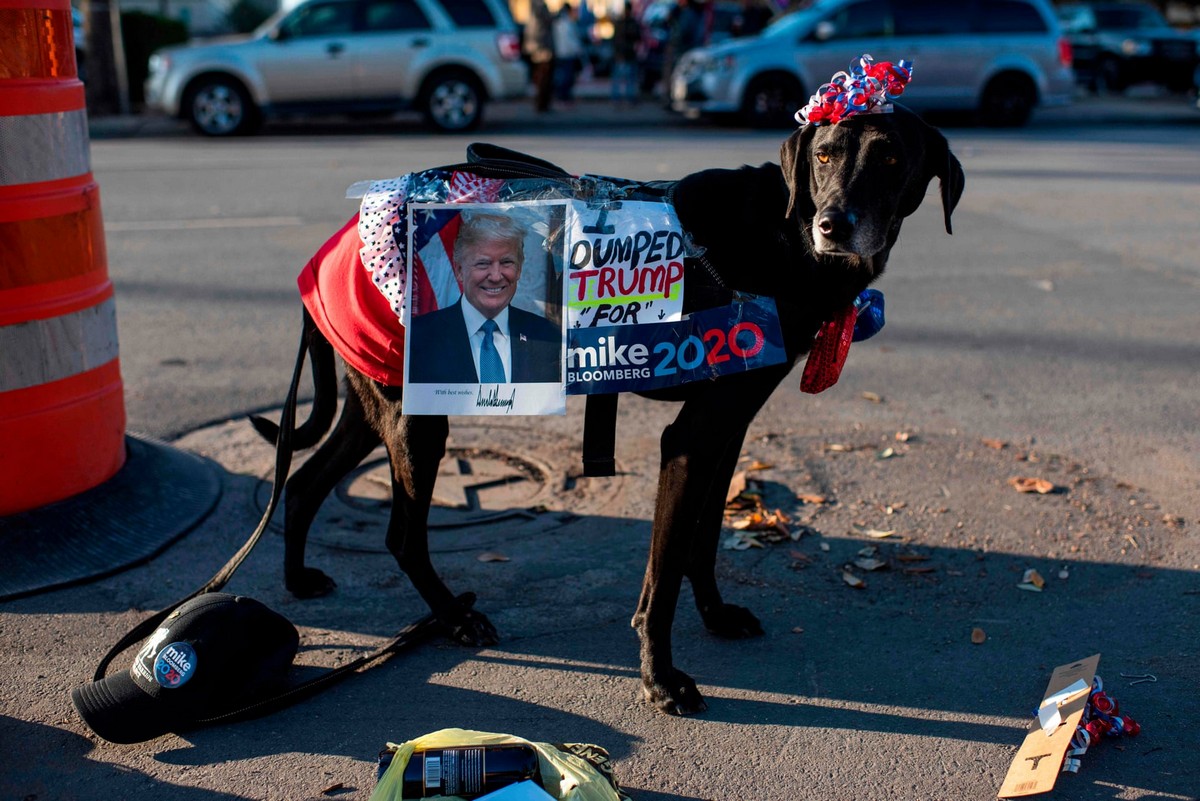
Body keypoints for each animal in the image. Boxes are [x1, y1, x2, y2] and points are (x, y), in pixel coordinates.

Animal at [258, 106, 960, 714]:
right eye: (824, 155)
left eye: (891, 157)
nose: (835, 224)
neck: (782, 234)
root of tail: (327, 250)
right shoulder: (690, 438)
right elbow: (665, 569)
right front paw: (661, 679)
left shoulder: (728, 429)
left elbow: (704, 540)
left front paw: (715, 615)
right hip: (419, 420)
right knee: (401, 535)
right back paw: (454, 617)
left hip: (376, 402)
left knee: (305, 481)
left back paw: (297, 580)